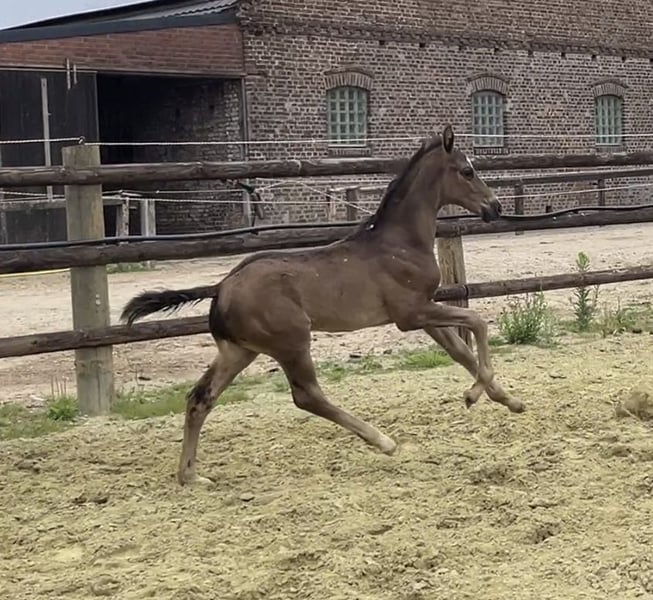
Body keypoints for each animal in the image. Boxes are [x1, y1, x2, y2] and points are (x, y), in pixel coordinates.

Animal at [121, 125, 525, 487]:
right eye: (468, 171)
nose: (495, 207)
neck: (400, 242)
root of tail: (220, 288)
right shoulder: (411, 314)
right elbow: (477, 321)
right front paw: (474, 394)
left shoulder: (423, 312)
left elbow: (460, 351)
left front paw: (507, 400)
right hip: (292, 341)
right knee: (307, 396)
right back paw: (382, 440)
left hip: (239, 351)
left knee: (200, 398)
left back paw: (190, 475)